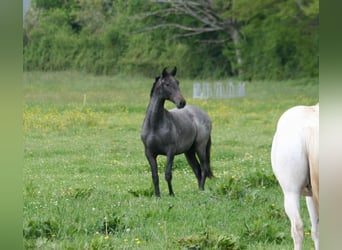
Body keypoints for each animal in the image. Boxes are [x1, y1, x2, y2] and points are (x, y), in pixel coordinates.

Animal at [140, 67, 212, 196]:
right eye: (167, 84)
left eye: (178, 83)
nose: (182, 102)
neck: (155, 125)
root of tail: (205, 115)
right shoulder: (149, 154)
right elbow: (155, 176)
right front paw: (157, 196)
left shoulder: (170, 152)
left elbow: (168, 174)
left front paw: (171, 194)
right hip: (189, 152)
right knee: (197, 169)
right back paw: (198, 189)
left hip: (200, 147)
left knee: (204, 168)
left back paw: (201, 190)